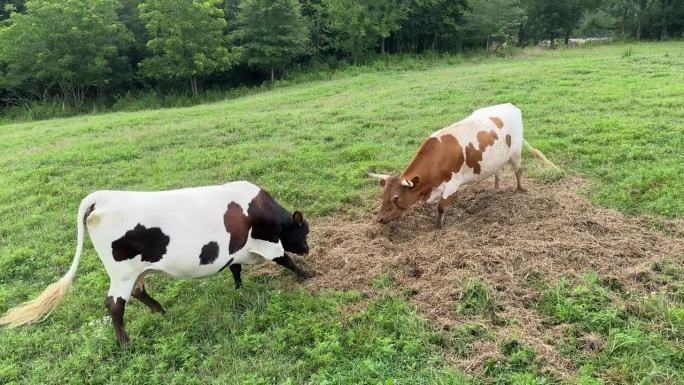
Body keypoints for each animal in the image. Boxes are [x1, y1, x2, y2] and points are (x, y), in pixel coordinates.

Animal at [0, 180, 310, 342]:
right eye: (305, 230)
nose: (307, 249)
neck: (259, 209)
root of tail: (103, 197)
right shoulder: (268, 243)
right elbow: (285, 260)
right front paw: (307, 275)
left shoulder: (234, 251)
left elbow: (235, 268)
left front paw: (238, 289)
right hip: (122, 272)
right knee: (114, 304)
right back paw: (124, 342)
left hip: (136, 271)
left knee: (138, 291)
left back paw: (161, 311)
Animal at [368, 103, 556, 226]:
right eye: (383, 195)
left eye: (395, 197)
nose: (380, 219)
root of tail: (511, 106)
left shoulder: (452, 184)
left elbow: (441, 207)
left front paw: (439, 226)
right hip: (496, 158)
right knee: (498, 173)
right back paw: (496, 190)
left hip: (516, 153)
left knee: (519, 171)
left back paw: (520, 189)